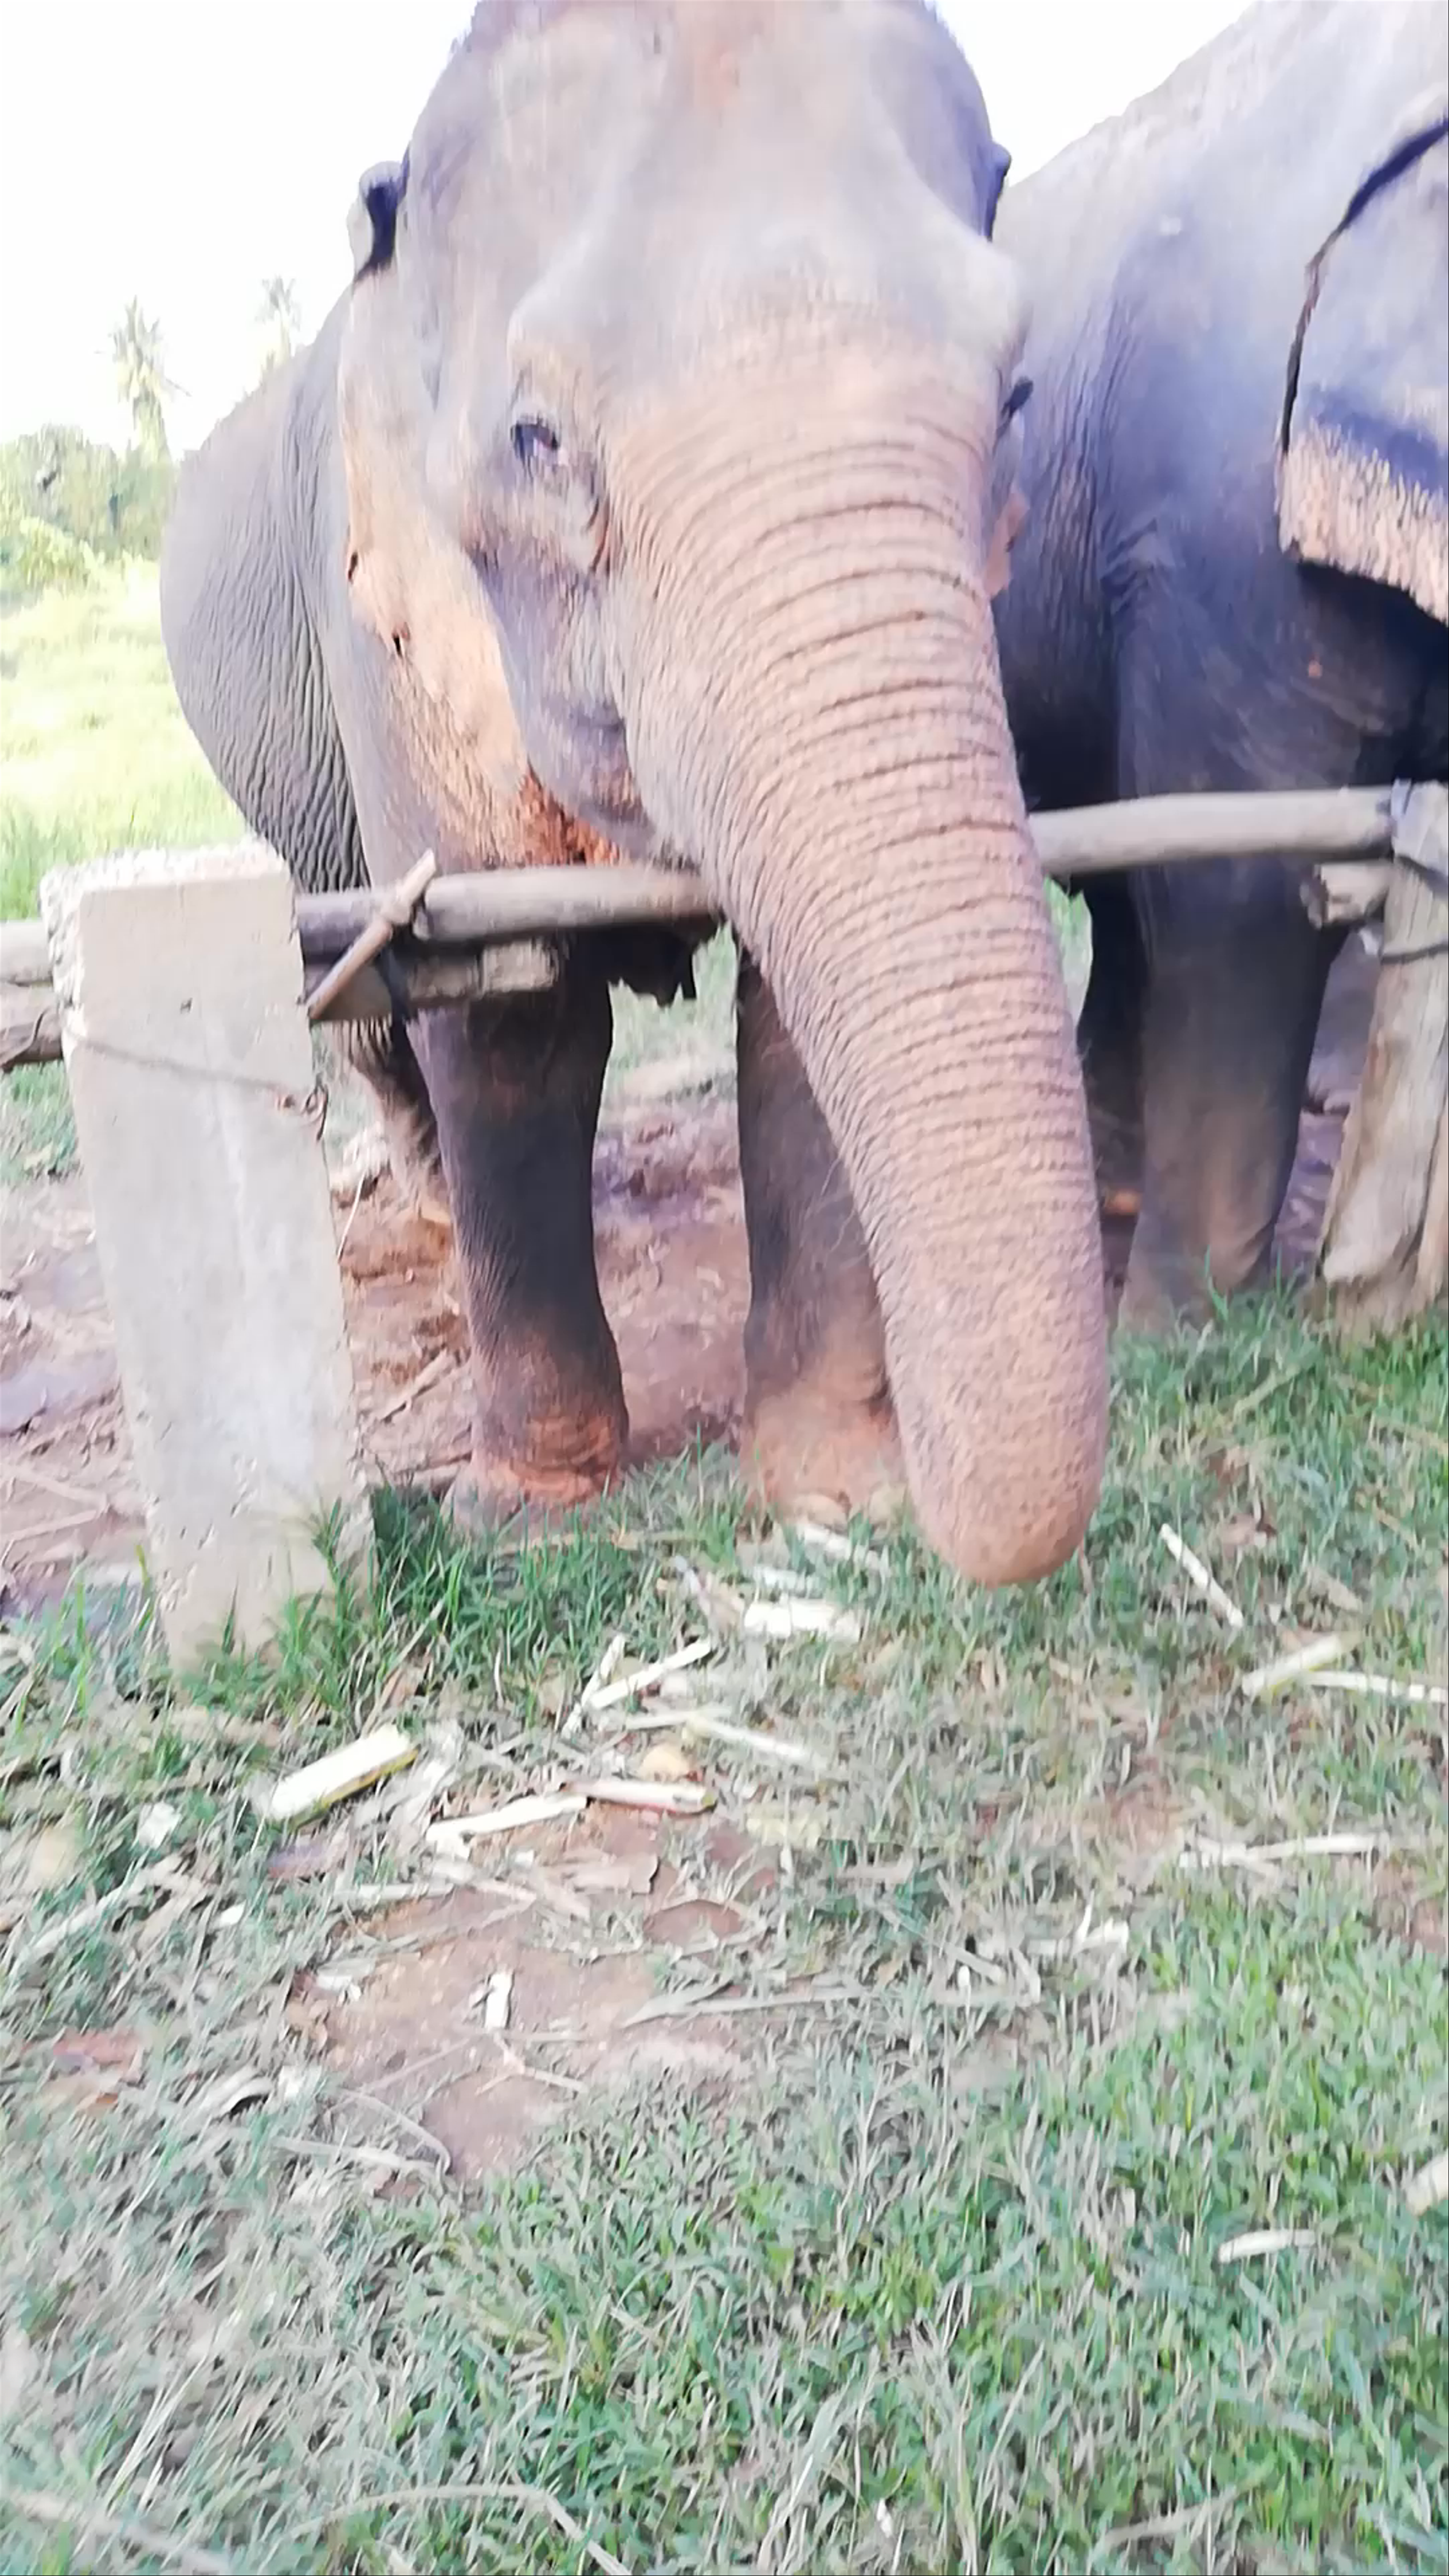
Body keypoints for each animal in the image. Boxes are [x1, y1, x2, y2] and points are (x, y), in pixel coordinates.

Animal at [159, 0, 1108, 1589]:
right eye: (539, 439)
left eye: (1020, 393)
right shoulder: (389, 644)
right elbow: (507, 1011)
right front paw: (528, 1514)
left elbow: (791, 1021)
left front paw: (832, 1495)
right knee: (371, 1014)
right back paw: (427, 1199)